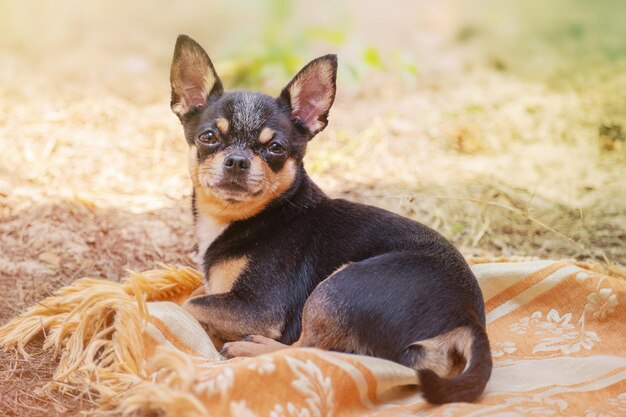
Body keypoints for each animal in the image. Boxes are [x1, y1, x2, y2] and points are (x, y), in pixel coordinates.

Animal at [172, 35, 492, 404]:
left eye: (276, 148)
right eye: (208, 137)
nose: (237, 161)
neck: (253, 216)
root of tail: (468, 319)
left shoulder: (258, 308)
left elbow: (188, 301)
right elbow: (197, 291)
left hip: (335, 289)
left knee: (310, 348)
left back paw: (248, 348)